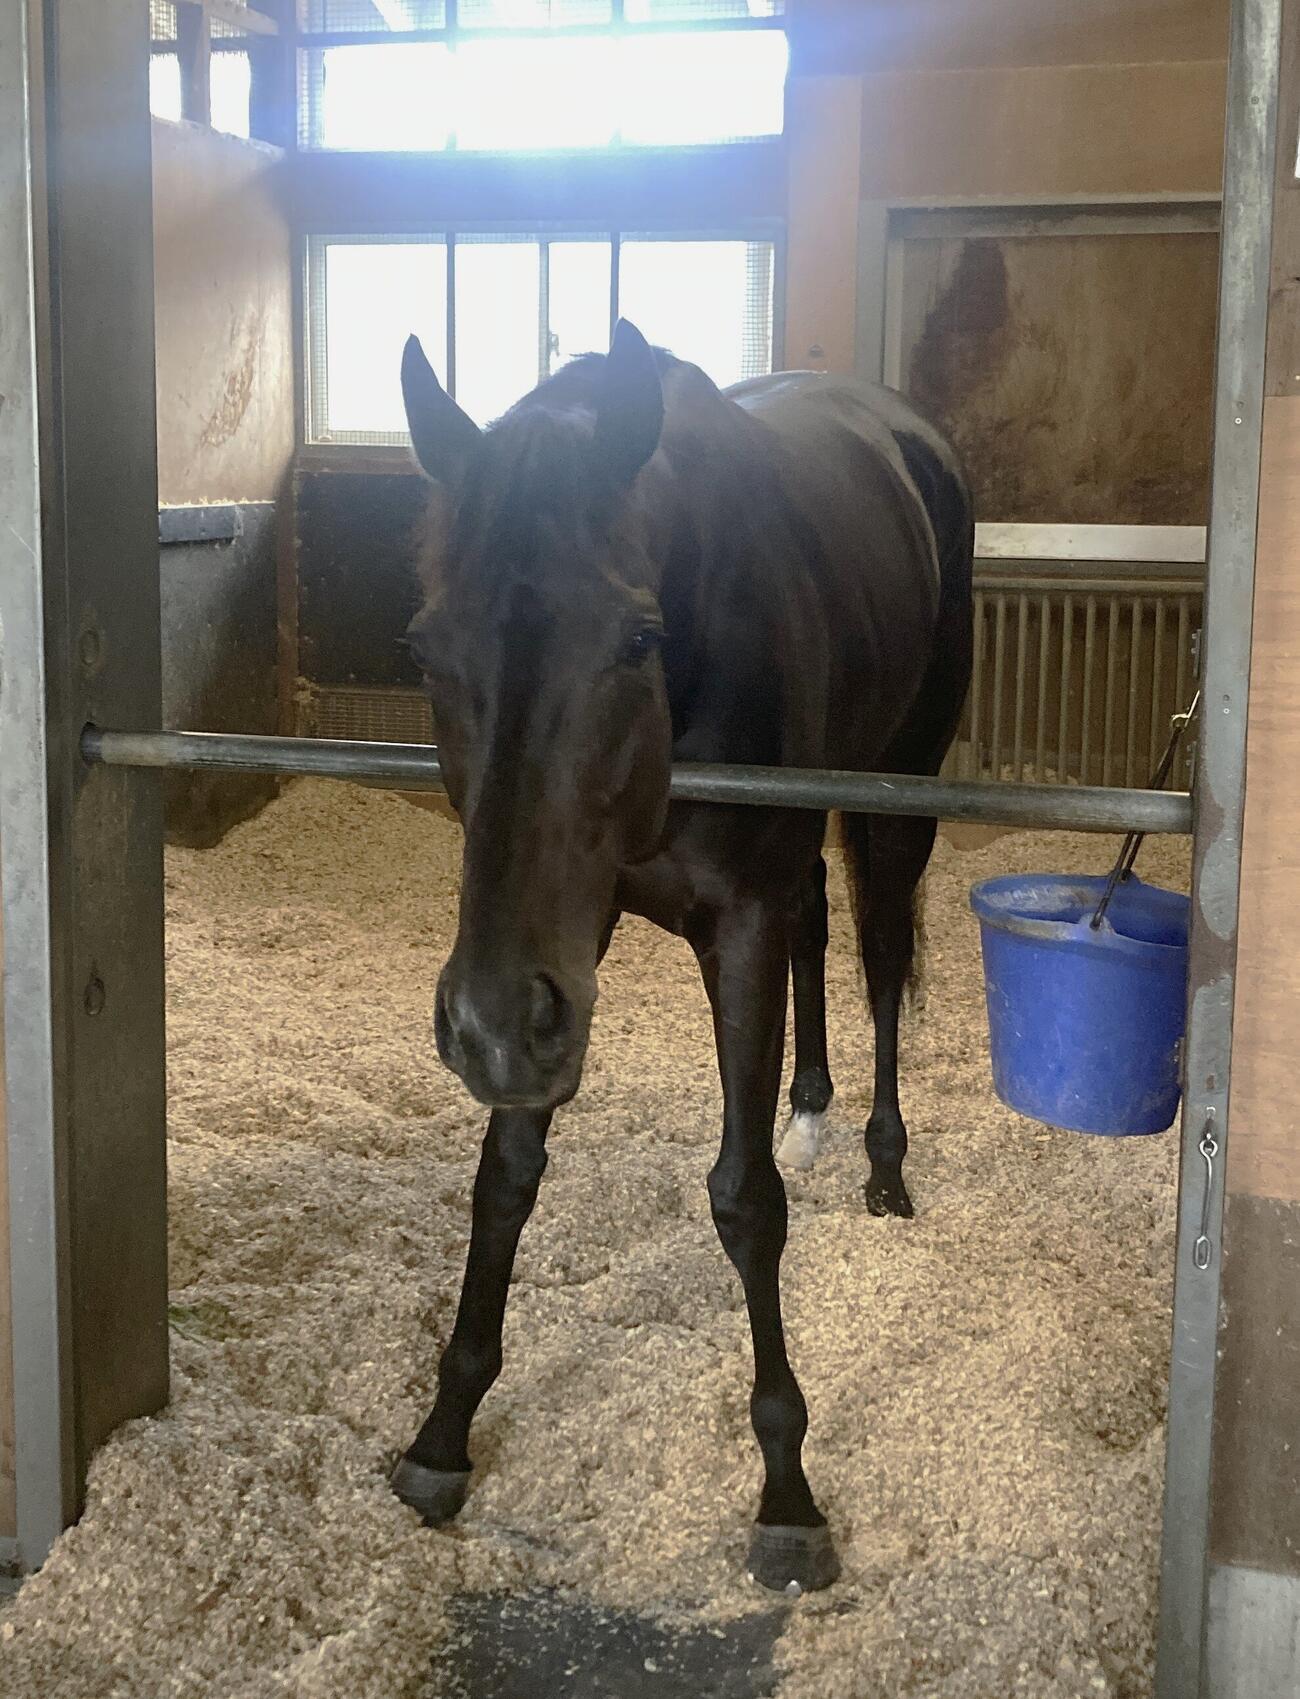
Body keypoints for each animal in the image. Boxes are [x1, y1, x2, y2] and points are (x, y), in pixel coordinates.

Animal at [389, 320, 974, 1593]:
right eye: (424, 650)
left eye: (636, 638)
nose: (482, 1027)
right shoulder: (563, 952)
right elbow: (506, 1178)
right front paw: (444, 1431)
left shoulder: (733, 921)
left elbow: (744, 1199)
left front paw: (787, 1493)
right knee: (821, 922)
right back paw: (810, 1105)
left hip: (899, 787)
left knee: (879, 950)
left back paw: (883, 1163)